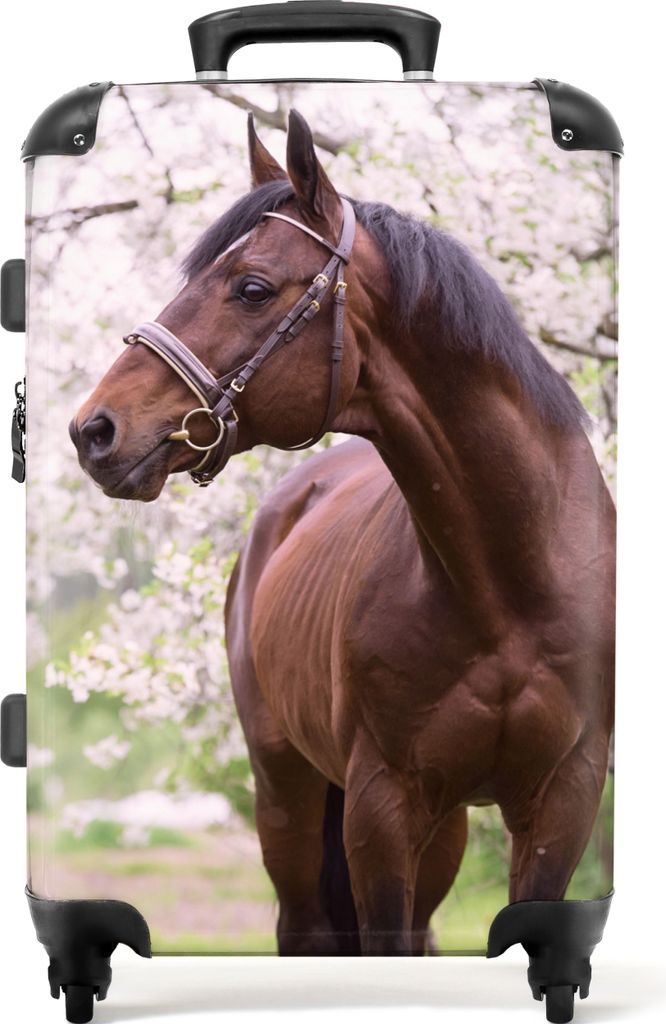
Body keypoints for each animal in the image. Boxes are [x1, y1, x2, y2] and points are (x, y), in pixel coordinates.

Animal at [70, 110, 616, 957]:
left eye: (251, 287)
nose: (94, 430)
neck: (513, 585)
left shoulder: (564, 798)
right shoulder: (380, 808)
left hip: (444, 826)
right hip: (287, 796)